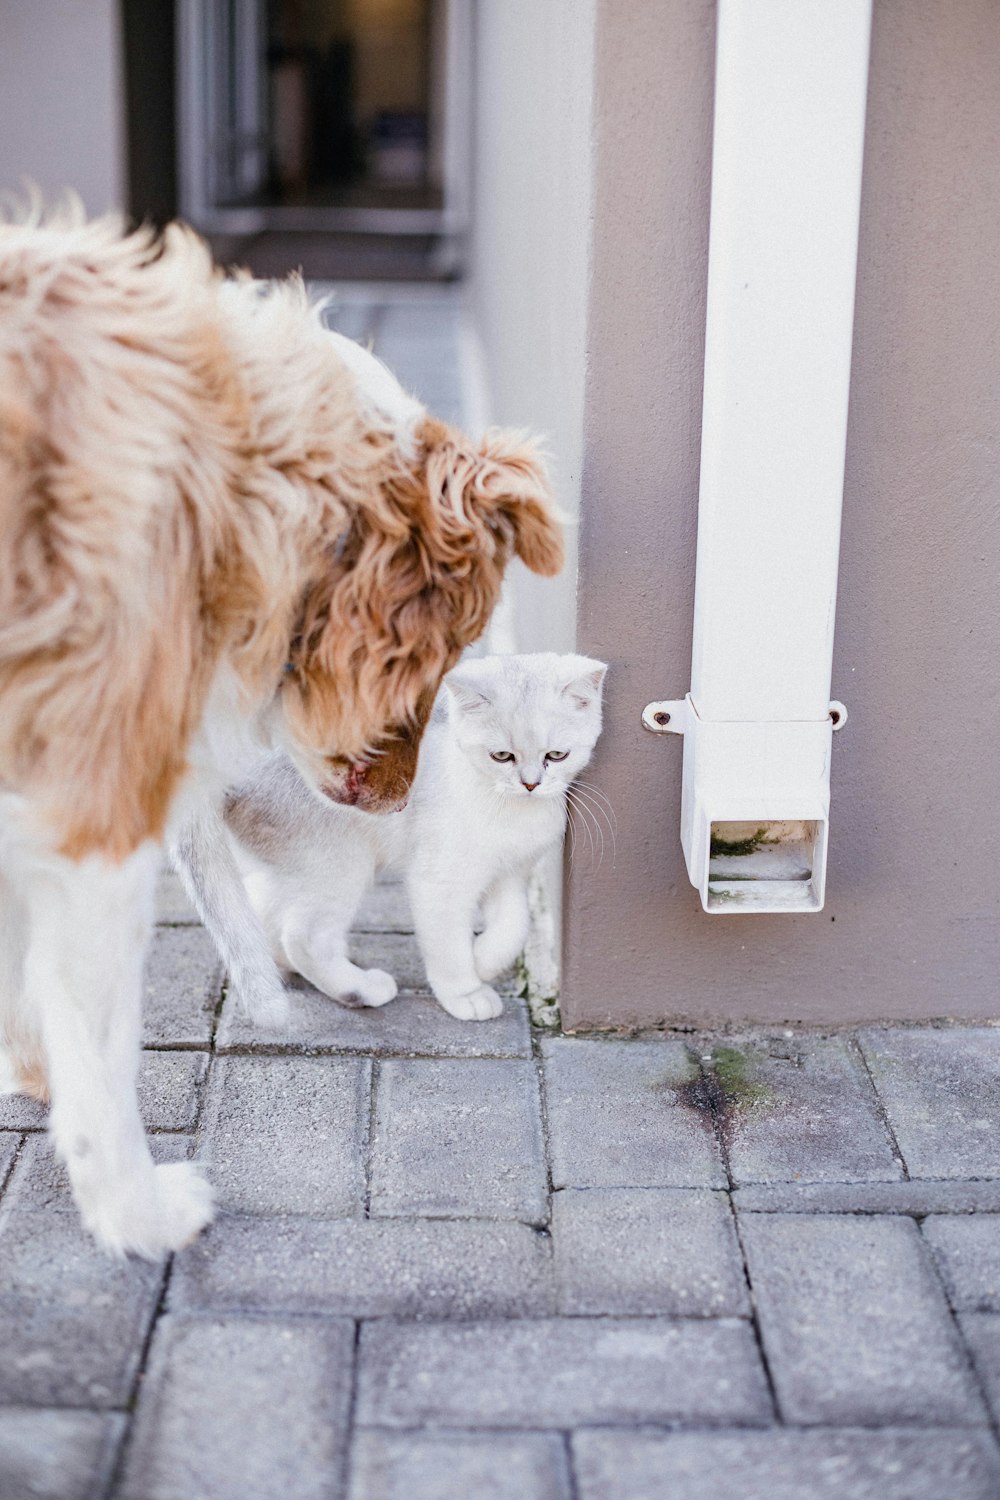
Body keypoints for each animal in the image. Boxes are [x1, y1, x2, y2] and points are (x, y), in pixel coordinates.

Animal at [0, 202, 563, 1254]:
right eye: (440, 657)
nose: (398, 803)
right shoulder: (97, 811)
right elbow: (102, 1049)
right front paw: (137, 1209)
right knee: (293, 927)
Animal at [223, 654, 605, 1020]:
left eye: (556, 755)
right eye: (501, 756)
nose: (530, 784)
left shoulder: (511, 874)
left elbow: (515, 925)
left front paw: (483, 960)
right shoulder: (439, 882)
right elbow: (449, 946)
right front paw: (466, 993)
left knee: (264, 911)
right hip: (341, 864)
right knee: (303, 937)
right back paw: (361, 988)